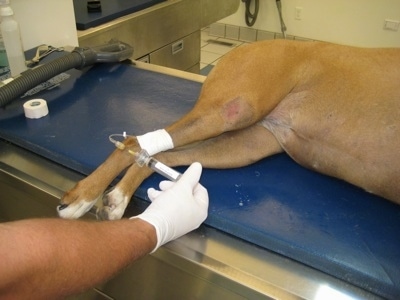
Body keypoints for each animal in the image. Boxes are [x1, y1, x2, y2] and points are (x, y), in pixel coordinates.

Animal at [57, 39, 398, 220]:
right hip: (233, 110)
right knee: (135, 142)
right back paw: (83, 196)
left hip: (247, 145)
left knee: (160, 154)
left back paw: (117, 198)